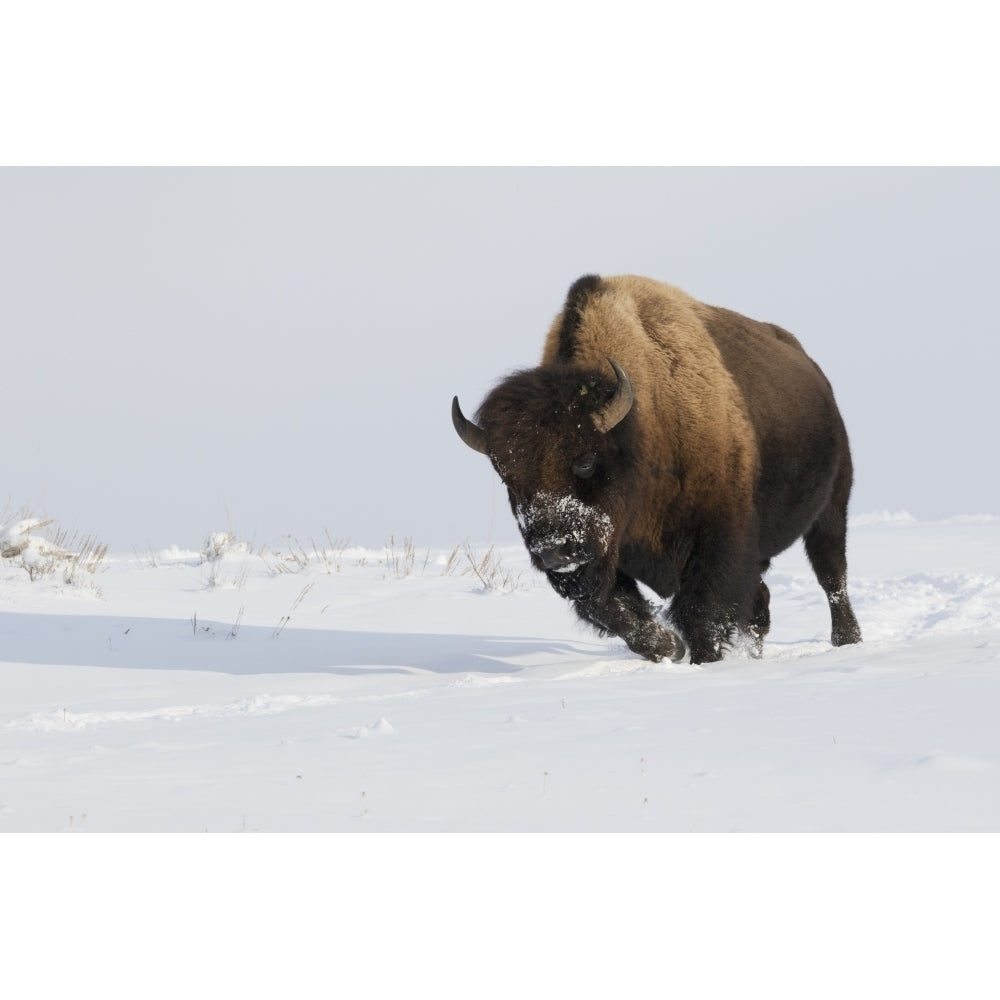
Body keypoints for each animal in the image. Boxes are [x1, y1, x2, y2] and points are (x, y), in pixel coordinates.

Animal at [454, 274, 860, 664]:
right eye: (506, 476)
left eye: (585, 461)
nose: (553, 551)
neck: (639, 428)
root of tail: (815, 373)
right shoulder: (607, 557)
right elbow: (616, 611)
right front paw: (671, 648)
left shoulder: (717, 542)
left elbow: (702, 613)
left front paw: (702, 661)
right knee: (762, 603)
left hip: (831, 509)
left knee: (832, 576)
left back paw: (848, 640)